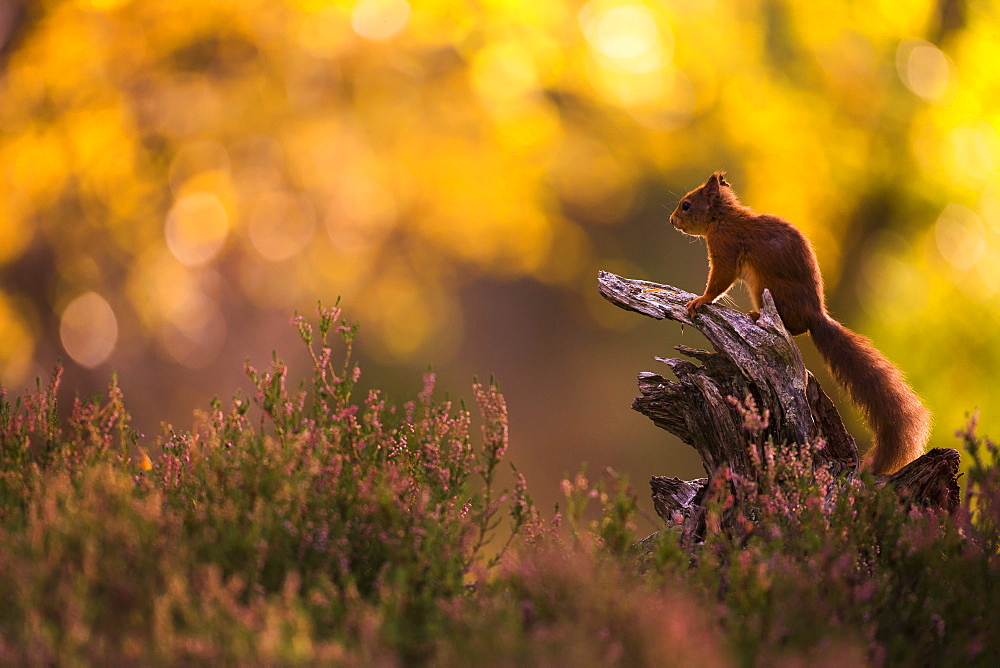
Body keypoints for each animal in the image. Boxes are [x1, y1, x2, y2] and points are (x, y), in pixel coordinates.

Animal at [668, 172, 932, 474]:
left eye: (686, 205)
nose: (672, 220)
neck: (722, 218)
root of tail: (814, 315)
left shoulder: (726, 247)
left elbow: (720, 280)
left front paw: (701, 300)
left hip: (766, 286)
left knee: (795, 327)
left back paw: (757, 316)